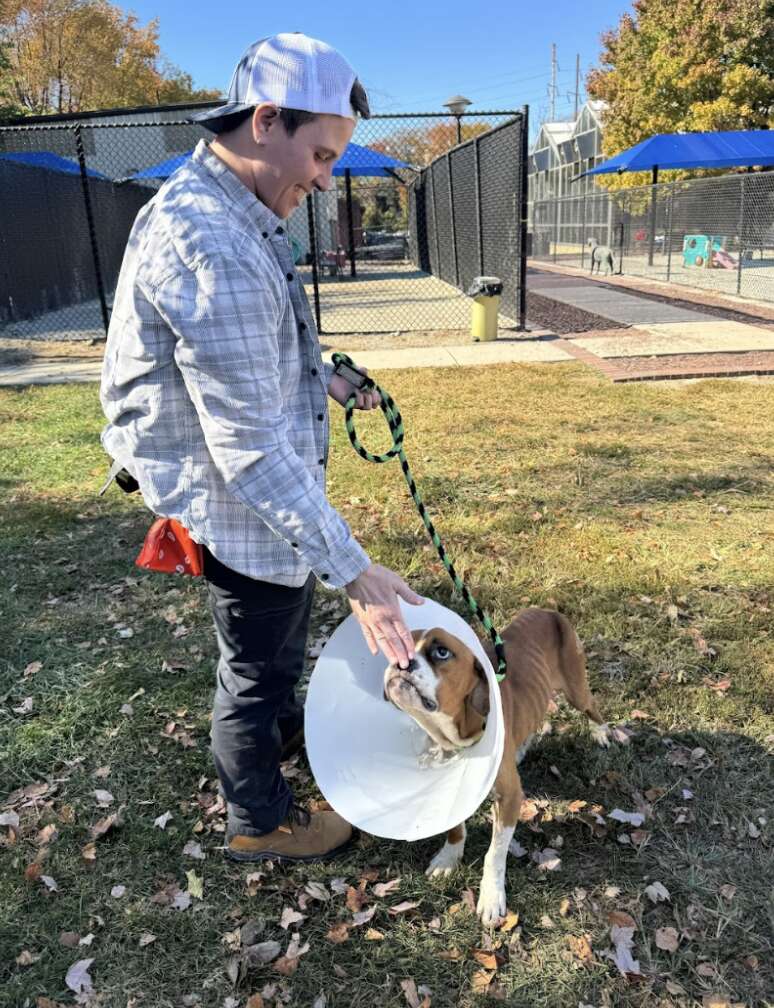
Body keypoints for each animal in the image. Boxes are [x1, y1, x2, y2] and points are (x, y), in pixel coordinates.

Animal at [382, 608, 612, 923]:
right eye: (397, 644)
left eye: (441, 652)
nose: (400, 661)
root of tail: (547, 611)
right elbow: (455, 829)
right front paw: (449, 858)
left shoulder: (510, 798)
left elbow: (494, 854)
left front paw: (491, 897)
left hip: (577, 689)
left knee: (593, 708)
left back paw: (602, 733)